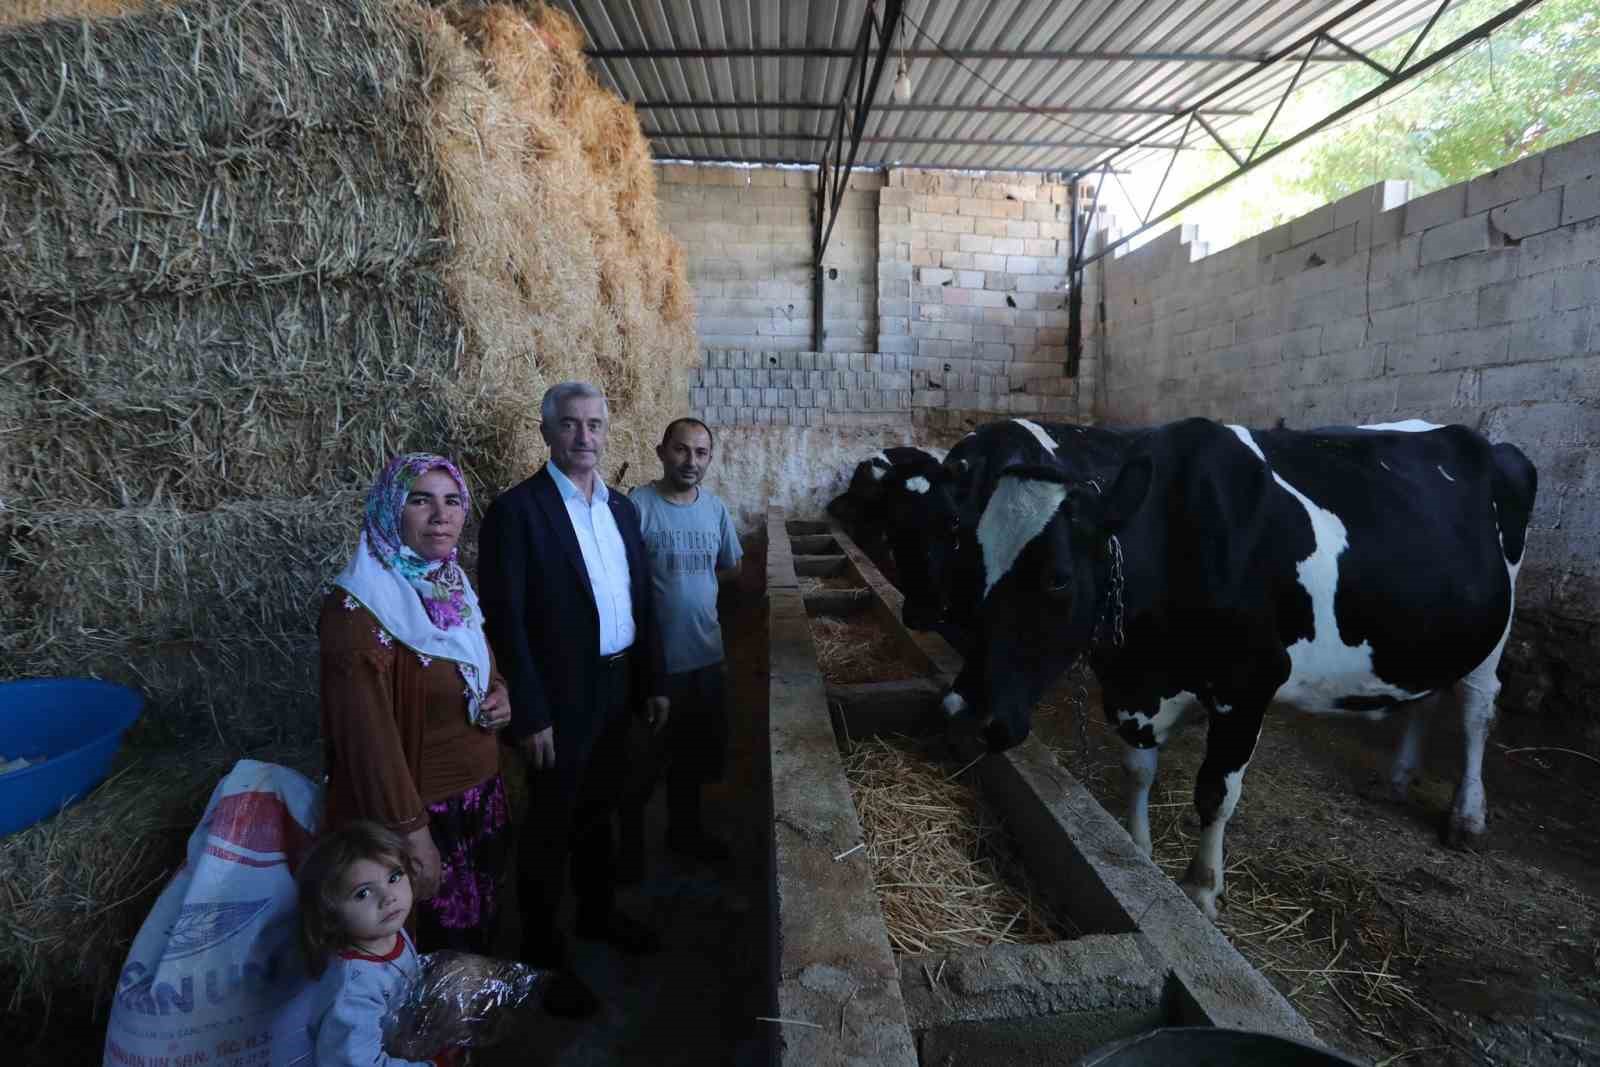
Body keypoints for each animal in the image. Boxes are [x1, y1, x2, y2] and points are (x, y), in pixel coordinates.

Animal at [972, 415, 1536, 921]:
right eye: (971, 558)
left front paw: (1202, 889)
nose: (978, 716)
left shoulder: (1247, 687)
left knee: (1475, 710)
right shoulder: (1138, 688)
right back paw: (1398, 778)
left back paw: (1467, 816)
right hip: (1428, 634)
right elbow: (1138, 770)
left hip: (1492, 634)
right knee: (1427, 696)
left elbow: (1215, 792)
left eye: (1058, 578)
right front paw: (1140, 849)